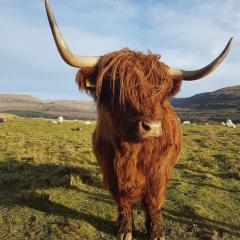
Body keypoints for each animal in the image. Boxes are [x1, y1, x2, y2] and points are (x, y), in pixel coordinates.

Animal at [44, 0, 232, 239]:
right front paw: (125, 229)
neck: (129, 150)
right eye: (117, 87)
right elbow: (122, 199)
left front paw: (156, 230)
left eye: (161, 93)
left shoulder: (158, 171)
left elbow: (152, 201)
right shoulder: (110, 168)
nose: (152, 127)